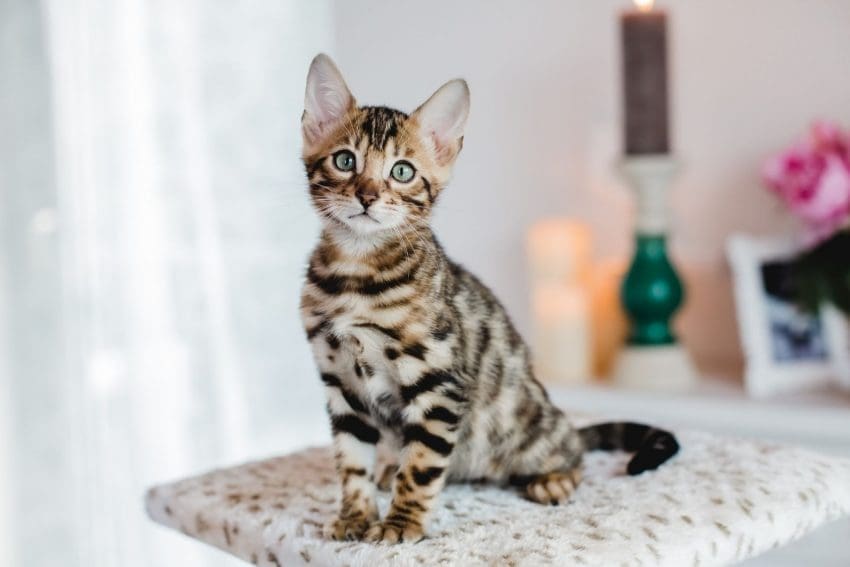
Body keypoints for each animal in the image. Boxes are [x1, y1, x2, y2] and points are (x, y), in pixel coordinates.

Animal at [298, 54, 676, 544]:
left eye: (402, 171)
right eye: (345, 161)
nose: (367, 196)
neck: (356, 273)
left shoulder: (439, 382)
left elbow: (422, 467)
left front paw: (401, 523)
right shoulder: (340, 381)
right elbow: (350, 460)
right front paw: (356, 515)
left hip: (523, 425)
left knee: (571, 447)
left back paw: (554, 478)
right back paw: (386, 468)